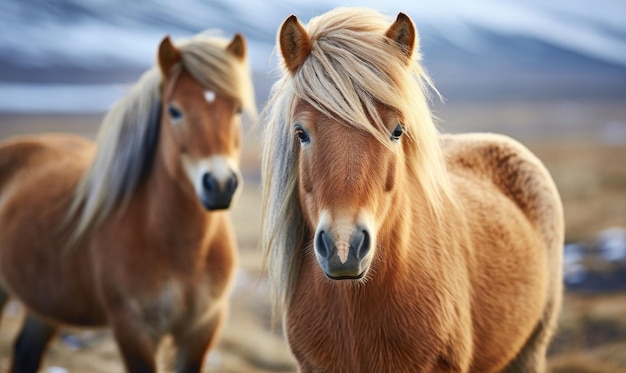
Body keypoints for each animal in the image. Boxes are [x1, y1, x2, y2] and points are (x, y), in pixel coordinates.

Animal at [0, 30, 256, 370]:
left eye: (237, 110)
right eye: (174, 111)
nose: (220, 184)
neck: (184, 251)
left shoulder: (202, 328)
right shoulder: (133, 328)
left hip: (44, 304)